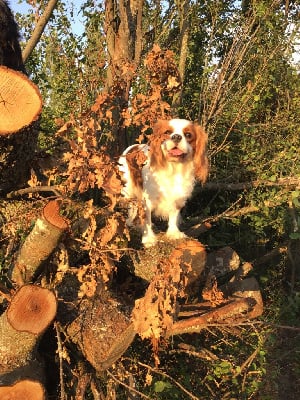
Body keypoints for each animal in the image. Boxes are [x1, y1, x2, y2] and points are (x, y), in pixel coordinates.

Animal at [118, 118, 207, 247]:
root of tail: (131, 147)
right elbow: (147, 219)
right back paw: (130, 222)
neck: (174, 168)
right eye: (167, 132)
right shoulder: (148, 200)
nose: (176, 137)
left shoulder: (178, 197)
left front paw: (173, 233)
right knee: (132, 206)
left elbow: (174, 215)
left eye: (188, 135)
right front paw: (148, 239)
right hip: (128, 190)